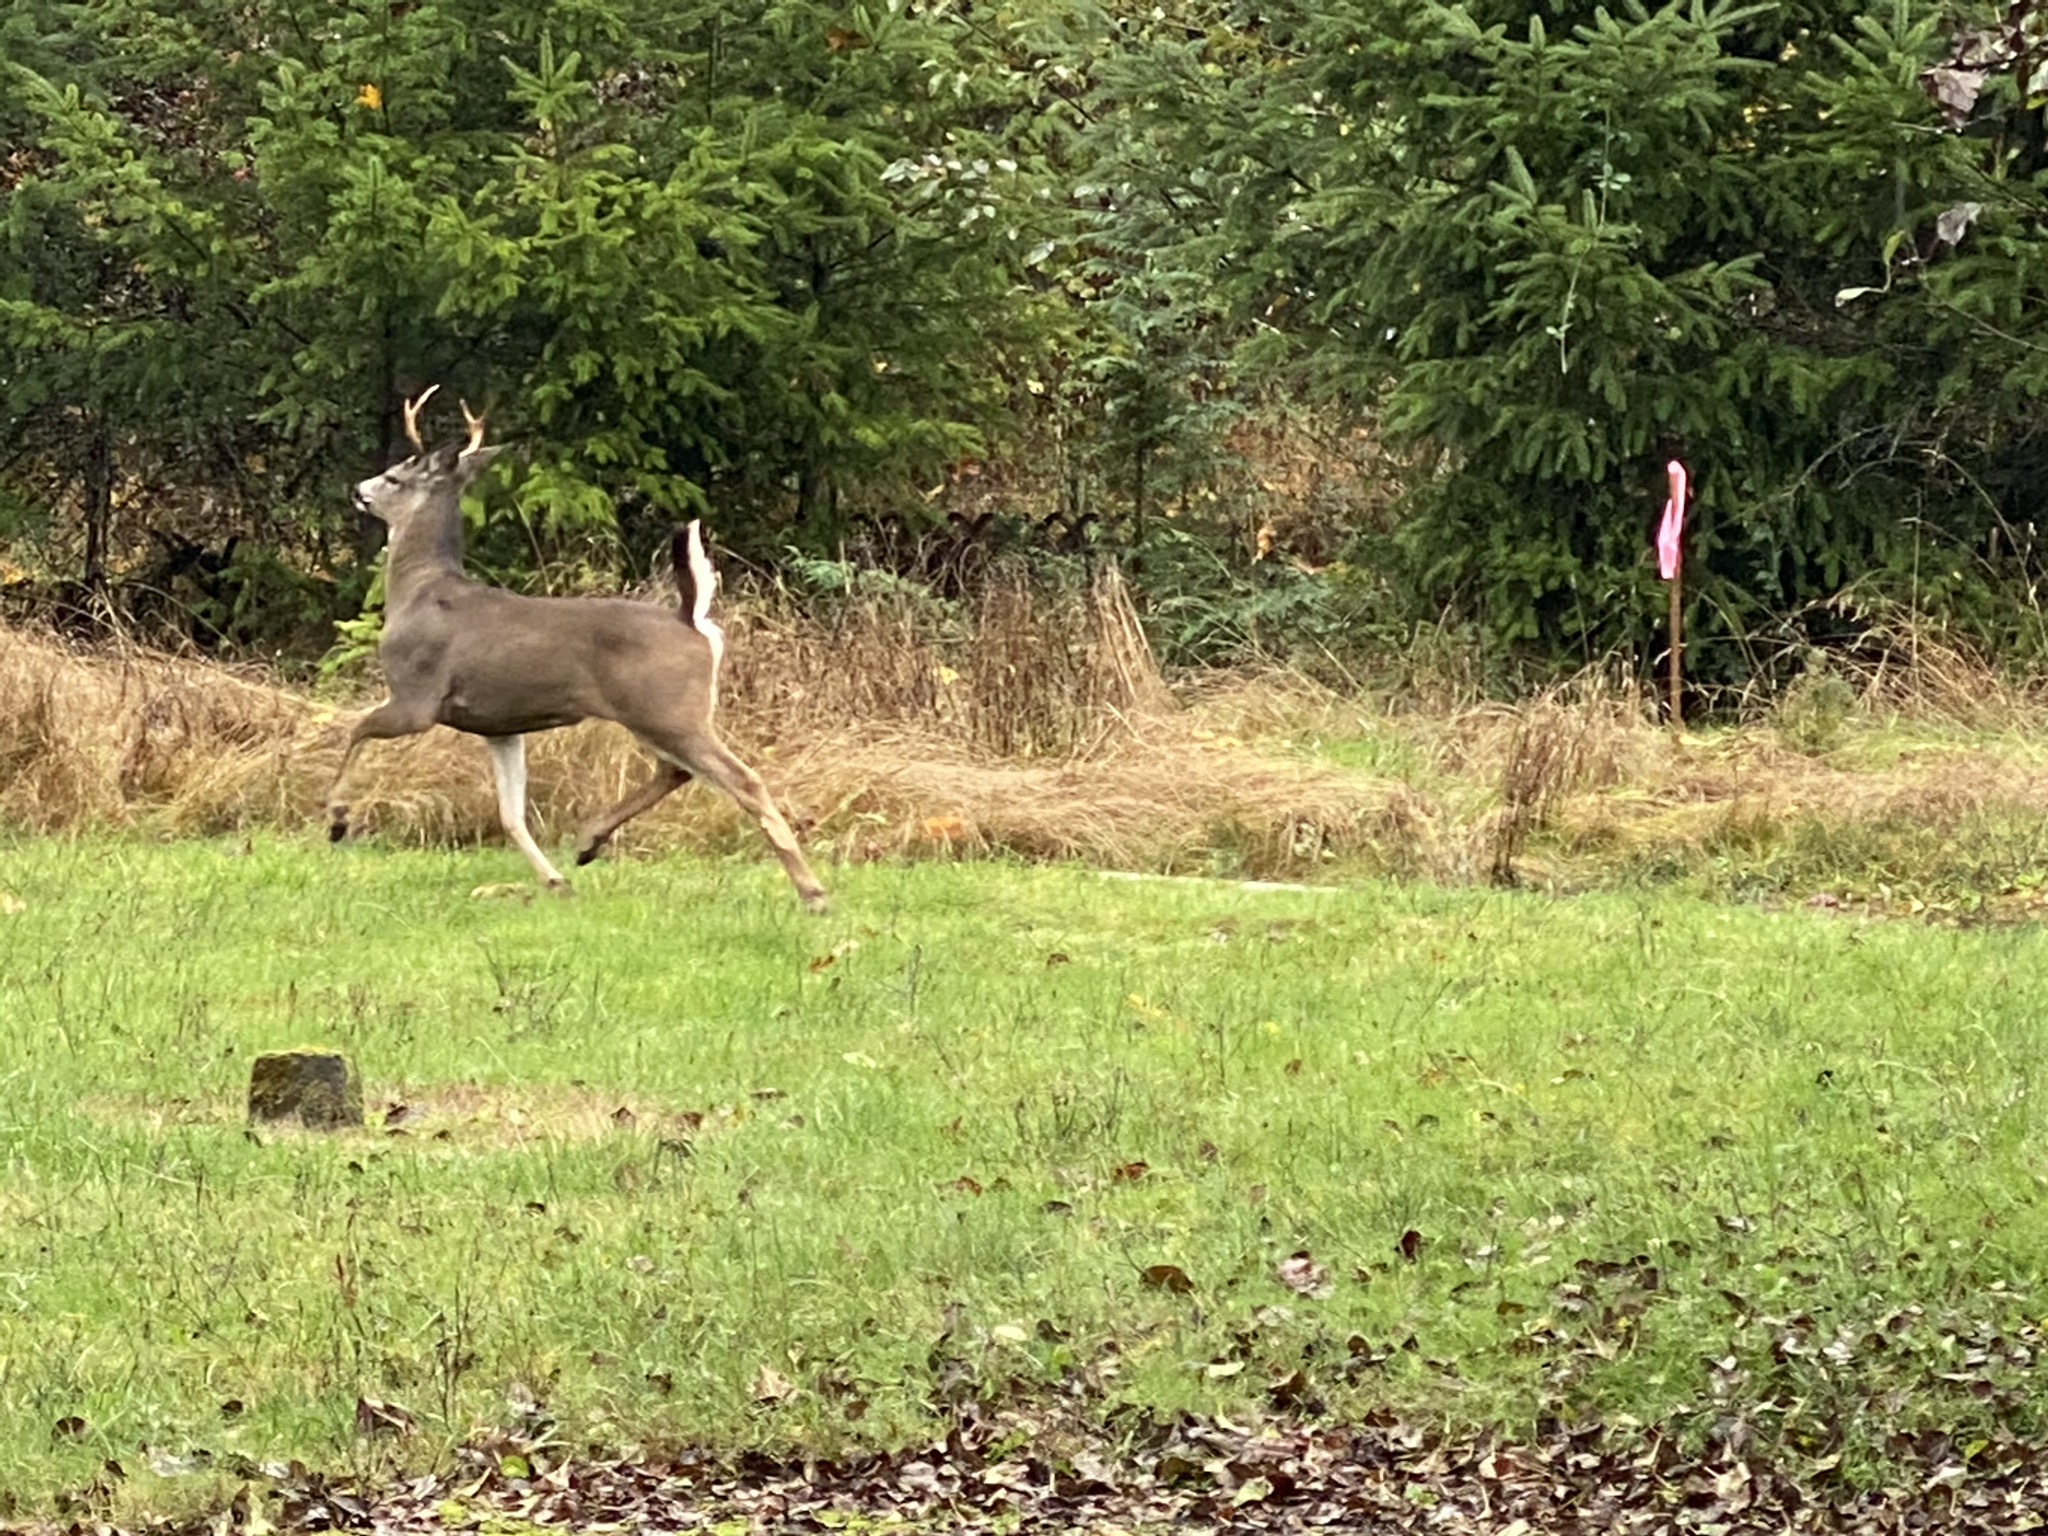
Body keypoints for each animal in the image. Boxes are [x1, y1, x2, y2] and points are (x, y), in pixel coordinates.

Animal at [323, 387, 830, 912]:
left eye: (395, 476)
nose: (358, 489)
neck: (419, 590)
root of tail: (690, 619)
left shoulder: (416, 695)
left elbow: (355, 731)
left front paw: (337, 818)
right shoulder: (500, 725)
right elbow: (511, 812)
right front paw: (555, 881)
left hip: (667, 709)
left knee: (740, 779)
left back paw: (813, 892)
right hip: (662, 714)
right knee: (676, 772)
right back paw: (589, 843)